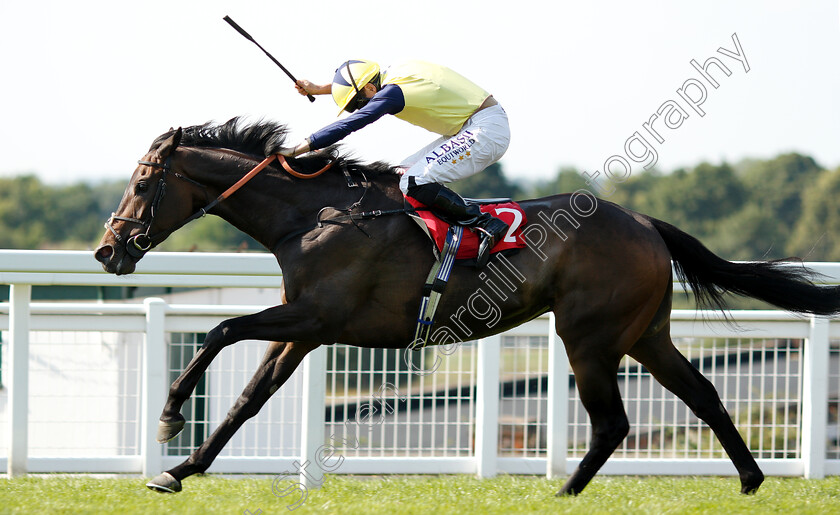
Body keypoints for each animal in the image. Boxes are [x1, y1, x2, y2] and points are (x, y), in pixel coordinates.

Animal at [93, 117, 840, 496]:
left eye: (142, 184)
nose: (107, 250)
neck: (316, 214)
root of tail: (647, 223)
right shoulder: (303, 330)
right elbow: (248, 398)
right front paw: (180, 469)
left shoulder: (316, 318)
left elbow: (220, 328)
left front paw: (168, 418)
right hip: (645, 334)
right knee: (703, 393)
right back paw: (749, 479)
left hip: (588, 336)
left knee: (613, 422)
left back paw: (564, 494)